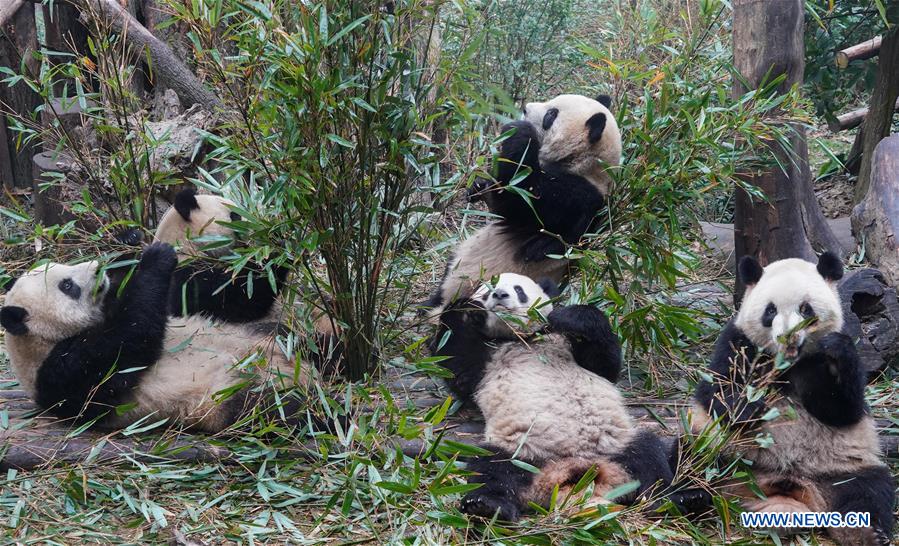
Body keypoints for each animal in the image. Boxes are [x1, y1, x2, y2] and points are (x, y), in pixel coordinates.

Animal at [0, 243, 320, 433]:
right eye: (67, 285)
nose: (98, 268)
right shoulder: (61, 375)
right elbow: (131, 340)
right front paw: (156, 256)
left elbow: (218, 299)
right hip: (227, 394)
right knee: (278, 410)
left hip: (269, 337)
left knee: (308, 342)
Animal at [423, 94, 621, 315]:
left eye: (551, 114)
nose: (525, 109)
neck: (587, 165)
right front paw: (478, 185)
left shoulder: (578, 195)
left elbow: (519, 198)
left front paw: (519, 131)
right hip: (460, 258)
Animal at [429, 272, 678, 520]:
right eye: (488, 291)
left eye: (519, 289)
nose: (499, 294)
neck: (521, 338)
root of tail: (569, 475)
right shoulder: (486, 358)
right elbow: (457, 368)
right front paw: (467, 309)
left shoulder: (563, 341)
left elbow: (605, 362)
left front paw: (568, 316)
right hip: (519, 451)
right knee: (492, 468)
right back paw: (487, 505)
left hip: (617, 445)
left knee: (649, 458)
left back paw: (673, 501)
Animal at [692, 252, 895, 545]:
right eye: (770, 310)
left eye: (806, 309)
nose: (787, 336)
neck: (787, 362)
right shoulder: (738, 342)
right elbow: (714, 390)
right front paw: (750, 407)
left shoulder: (825, 362)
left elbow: (844, 410)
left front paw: (837, 350)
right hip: (723, 453)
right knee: (688, 459)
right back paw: (689, 497)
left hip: (842, 468)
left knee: (869, 489)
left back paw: (866, 532)